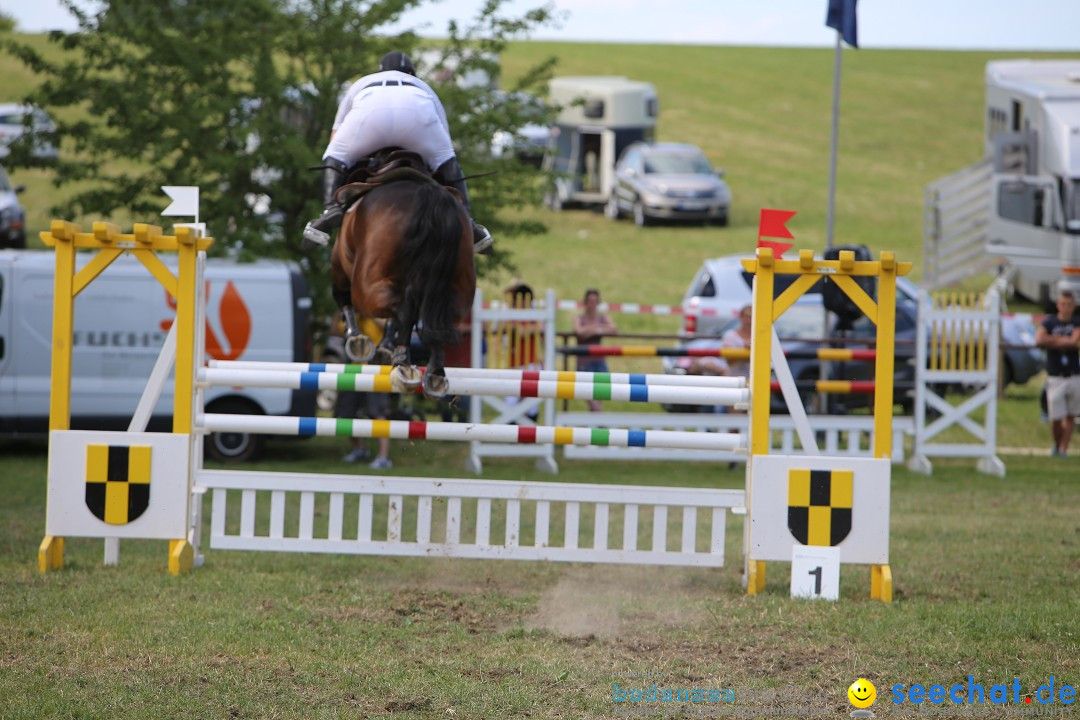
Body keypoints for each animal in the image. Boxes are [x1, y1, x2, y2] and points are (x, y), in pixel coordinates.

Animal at [328, 153, 477, 399]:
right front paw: (384, 346)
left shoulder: (341, 267)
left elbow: (342, 296)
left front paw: (357, 340)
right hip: (460, 288)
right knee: (441, 320)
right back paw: (434, 374)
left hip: (365, 286)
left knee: (402, 309)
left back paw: (402, 363)